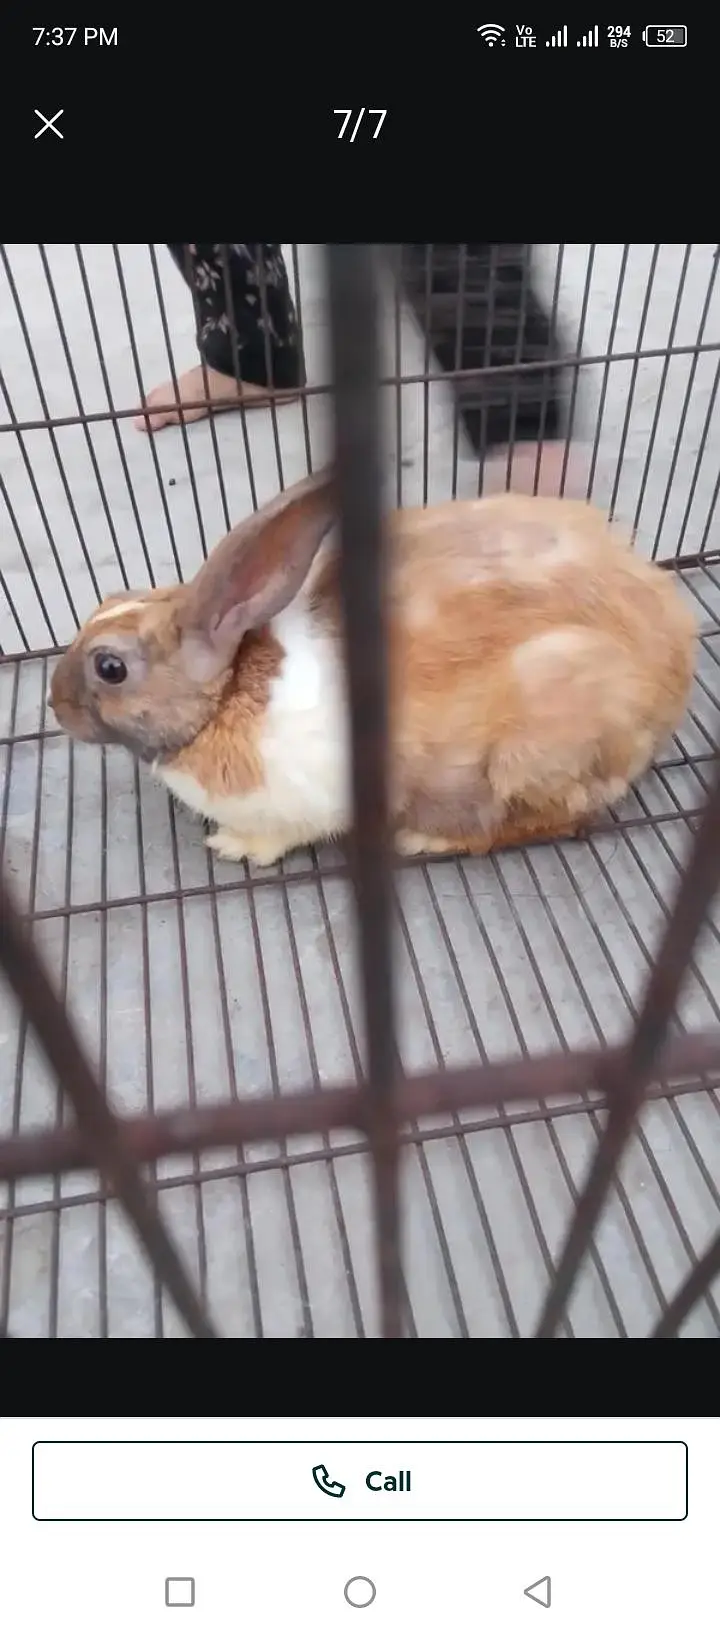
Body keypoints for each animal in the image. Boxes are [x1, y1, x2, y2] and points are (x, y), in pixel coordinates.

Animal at [49, 467, 697, 868]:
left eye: (110, 668)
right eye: (107, 599)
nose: (55, 705)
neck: (228, 696)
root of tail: (677, 663)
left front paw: (233, 845)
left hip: (537, 747)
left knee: (555, 819)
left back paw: (423, 838)